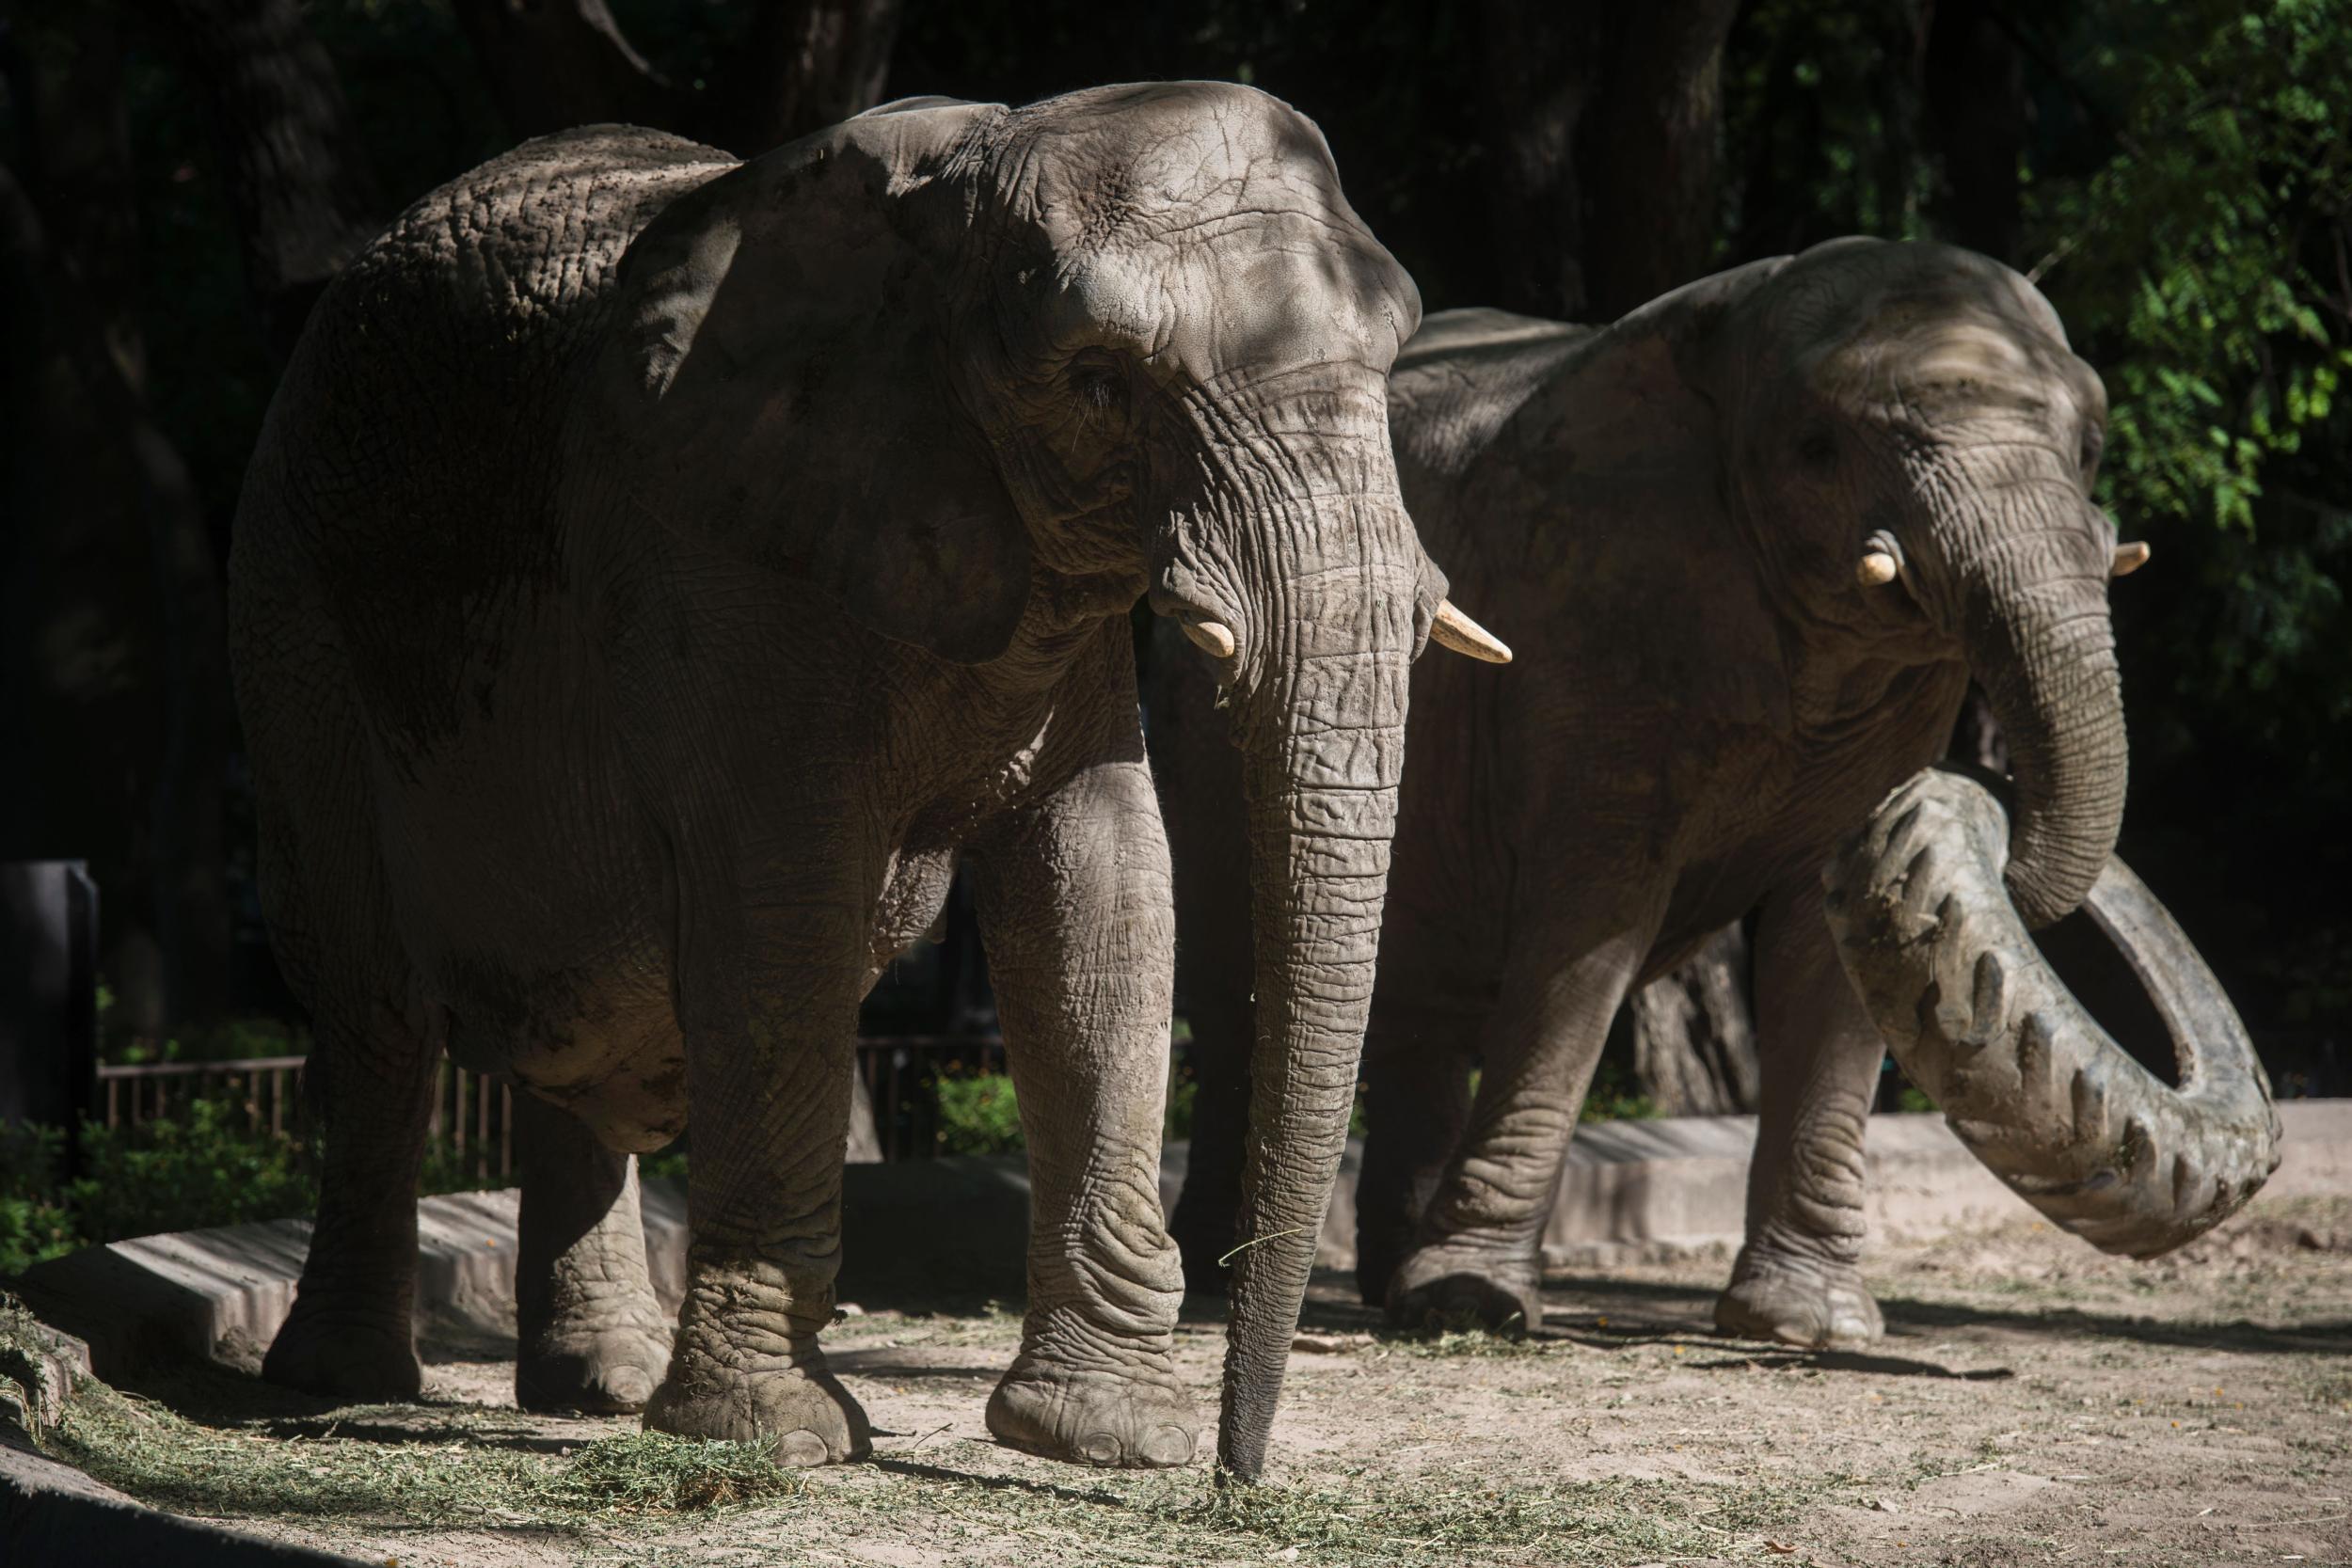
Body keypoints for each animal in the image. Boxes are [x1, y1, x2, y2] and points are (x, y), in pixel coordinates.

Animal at [224, 86, 1505, 1485]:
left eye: (1394, 348)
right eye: (1100, 382)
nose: (1239, 1471)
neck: (954, 196)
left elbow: (1104, 892)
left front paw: (1111, 1437)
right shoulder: (715, 540)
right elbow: (785, 906)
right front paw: (776, 1437)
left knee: (583, 1016)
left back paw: (598, 1384)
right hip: (294, 606)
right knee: (377, 1009)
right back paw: (339, 1380)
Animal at [1157, 236, 2277, 1354]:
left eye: (2089, 445)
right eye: (1820, 448)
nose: (1996, 811)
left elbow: (1830, 948)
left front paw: (1809, 1325)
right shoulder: (1593, 599)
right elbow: (1591, 936)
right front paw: (1470, 1304)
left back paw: (1378, 1275)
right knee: (1234, 979)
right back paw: (1231, 1278)